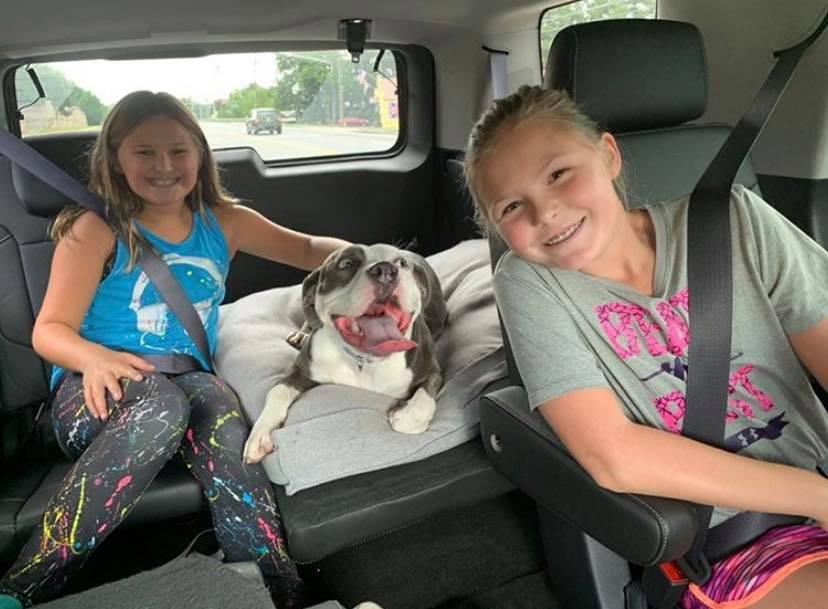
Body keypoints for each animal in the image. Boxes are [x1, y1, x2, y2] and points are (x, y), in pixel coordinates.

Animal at [241, 242, 444, 460]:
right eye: (346, 263)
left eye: (401, 263)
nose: (385, 270)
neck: (364, 361)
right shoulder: (300, 370)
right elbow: (277, 392)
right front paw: (261, 433)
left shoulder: (433, 372)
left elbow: (424, 401)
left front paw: (403, 417)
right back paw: (302, 334)